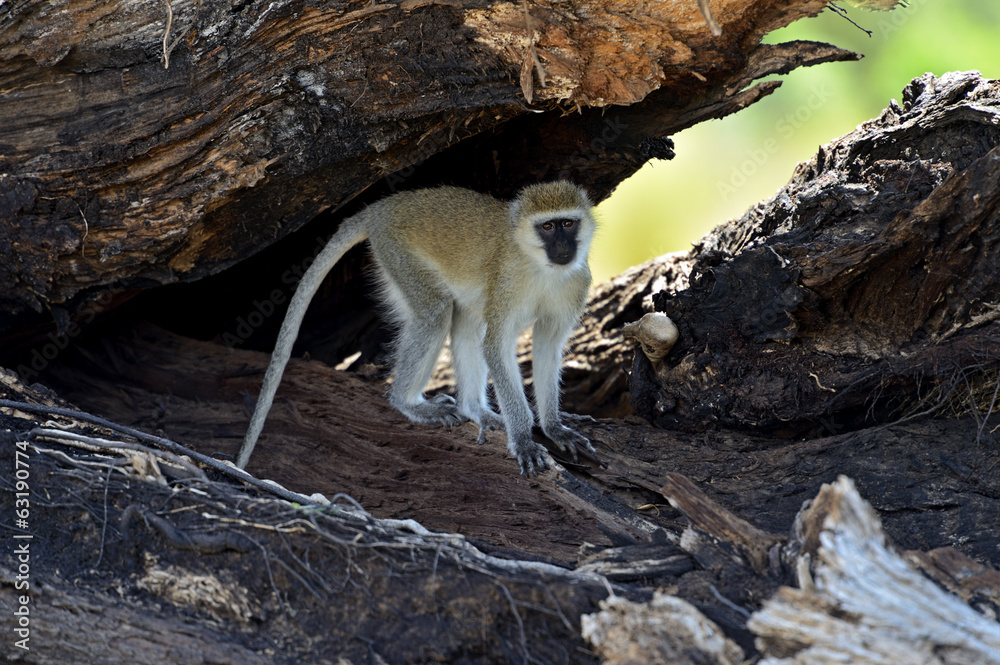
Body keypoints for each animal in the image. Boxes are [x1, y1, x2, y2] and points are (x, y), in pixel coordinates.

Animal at [236, 181, 596, 476]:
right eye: (547, 227)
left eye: (567, 224)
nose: (563, 247)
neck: (542, 267)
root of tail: (387, 205)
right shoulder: (508, 281)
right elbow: (496, 345)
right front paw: (522, 438)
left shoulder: (577, 283)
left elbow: (547, 346)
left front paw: (554, 427)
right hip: (397, 251)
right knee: (436, 314)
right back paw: (406, 403)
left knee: (465, 322)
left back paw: (474, 410)